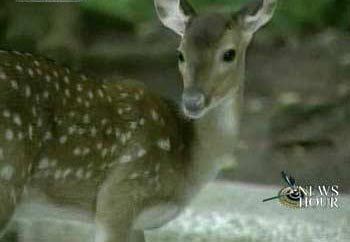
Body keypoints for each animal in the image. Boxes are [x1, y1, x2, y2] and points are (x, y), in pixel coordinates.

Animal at [0, 0, 278, 242]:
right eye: (180, 54)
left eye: (229, 54)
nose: (192, 101)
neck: (188, 163)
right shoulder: (118, 198)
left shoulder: (135, 221)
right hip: (8, 176)